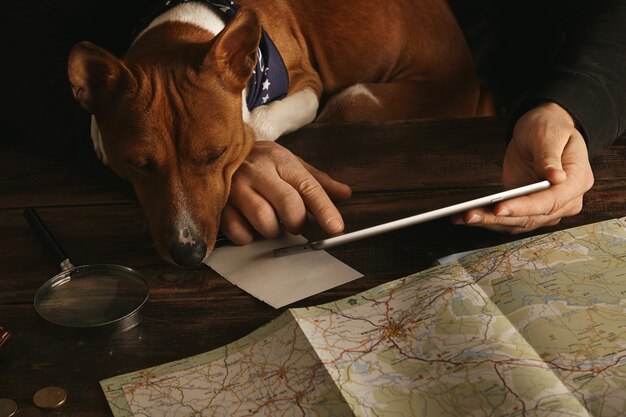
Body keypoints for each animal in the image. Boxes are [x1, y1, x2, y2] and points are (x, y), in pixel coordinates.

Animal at [69, 0, 488, 266]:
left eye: (217, 154)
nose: (188, 254)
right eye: (139, 165)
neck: (190, 23)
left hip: (354, 98)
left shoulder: (308, 86)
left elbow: (257, 125)